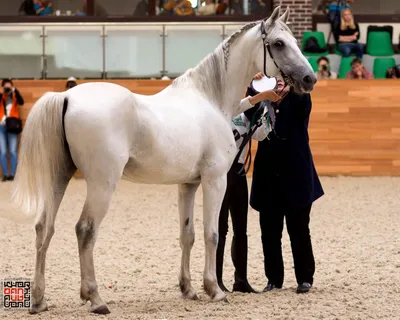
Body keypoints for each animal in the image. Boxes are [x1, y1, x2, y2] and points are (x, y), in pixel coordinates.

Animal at [11, 6, 316, 316]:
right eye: (279, 43)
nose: (309, 79)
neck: (211, 100)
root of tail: (67, 97)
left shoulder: (188, 185)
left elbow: (187, 234)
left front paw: (188, 290)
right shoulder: (215, 180)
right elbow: (212, 234)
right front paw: (214, 290)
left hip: (59, 177)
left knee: (44, 228)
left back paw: (39, 300)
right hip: (102, 184)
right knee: (85, 231)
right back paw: (96, 299)